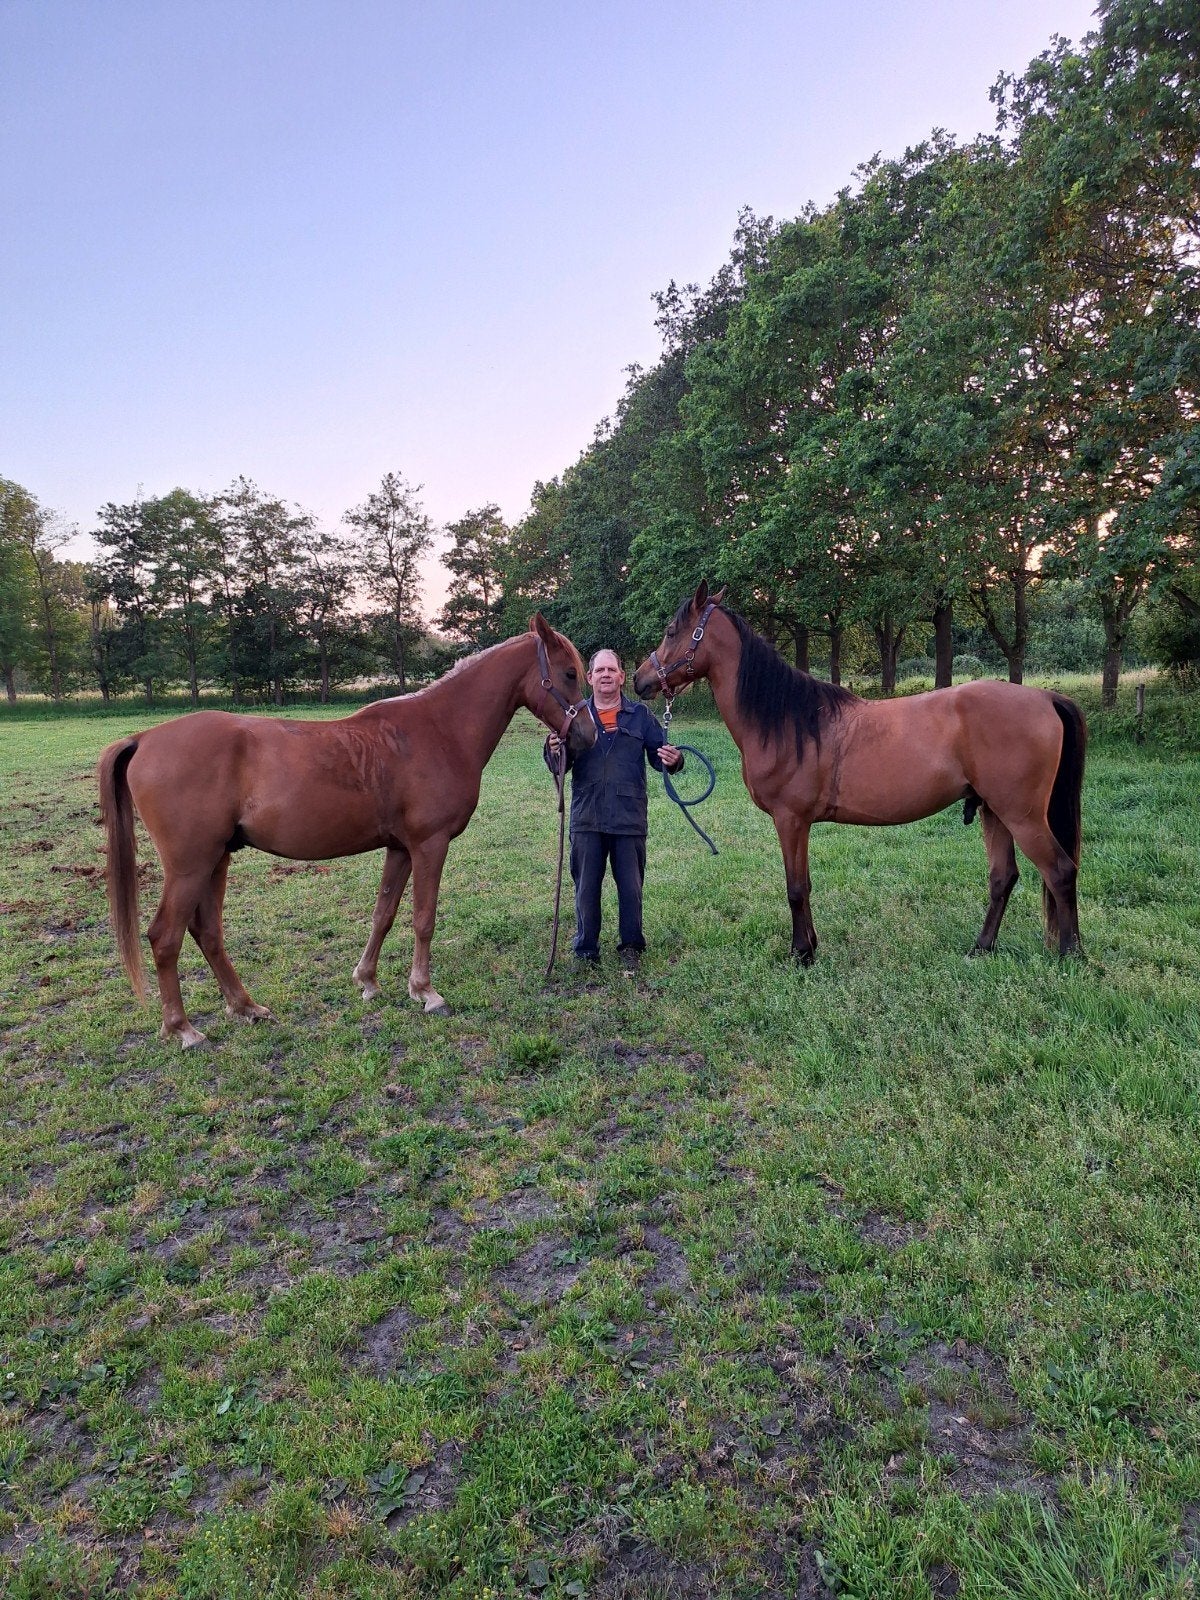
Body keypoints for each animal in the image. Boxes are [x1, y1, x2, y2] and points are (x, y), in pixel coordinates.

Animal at [98, 615, 595, 1046]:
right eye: (570, 673)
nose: (588, 737)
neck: (439, 731)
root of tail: (143, 739)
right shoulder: (429, 845)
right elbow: (423, 918)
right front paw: (426, 992)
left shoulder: (400, 849)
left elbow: (384, 914)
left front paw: (369, 981)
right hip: (190, 865)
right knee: (166, 937)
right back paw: (182, 1029)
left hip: (215, 859)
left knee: (208, 933)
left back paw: (246, 1008)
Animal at [633, 583, 1086, 963]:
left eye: (672, 631)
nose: (639, 680)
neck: (789, 720)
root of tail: (1046, 698)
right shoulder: (799, 823)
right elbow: (806, 885)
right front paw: (811, 945)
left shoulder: (790, 820)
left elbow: (795, 888)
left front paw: (801, 955)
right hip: (995, 811)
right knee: (1003, 878)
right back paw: (981, 948)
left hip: (1021, 815)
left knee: (1060, 871)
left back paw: (1071, 955)